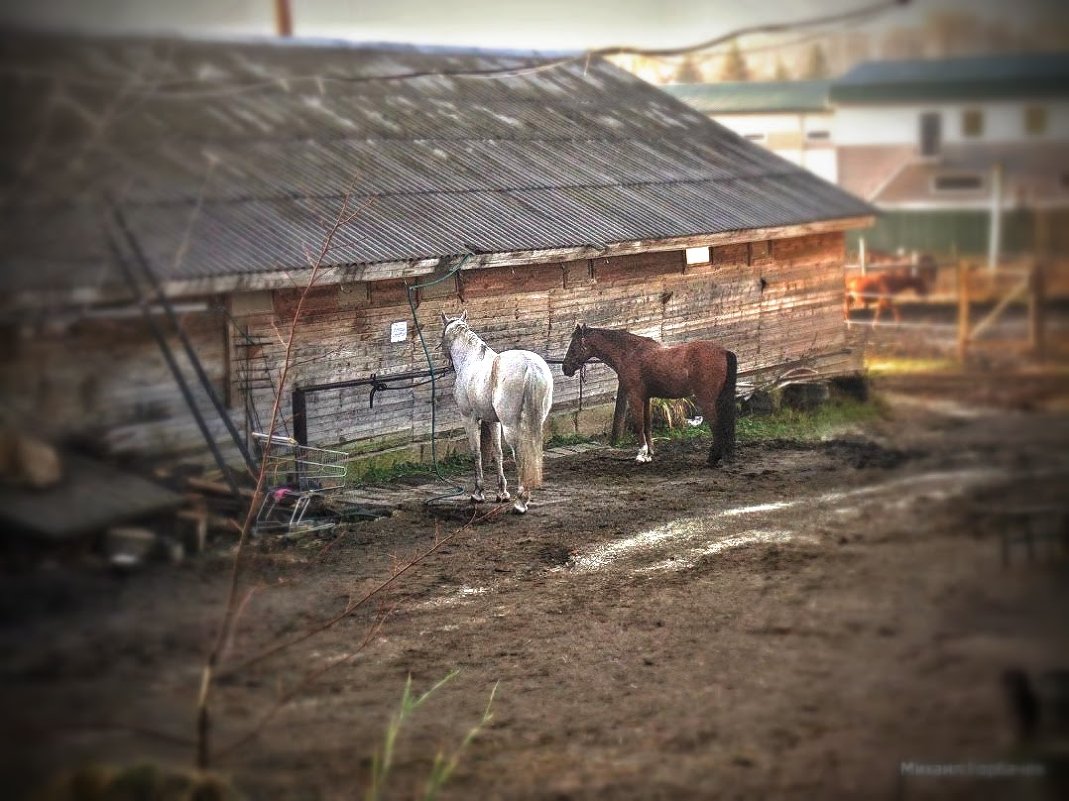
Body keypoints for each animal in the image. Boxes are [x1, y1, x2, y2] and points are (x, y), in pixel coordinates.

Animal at [440, 312, 555, 513]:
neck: (470, 359)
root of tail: (531, 367)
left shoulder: (469, 418)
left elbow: (476, 452)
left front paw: (478, 493)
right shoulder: (493, 420)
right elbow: (498, 452)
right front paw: (502, 492)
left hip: (511, 426)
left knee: (520, 453)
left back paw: (521, 502)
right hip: (533, 421)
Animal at [560, 322, 735, 466]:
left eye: (574, 345)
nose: (565, 368)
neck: (630, 353)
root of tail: (724, 351)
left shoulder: (635, 397)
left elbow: (639, 425)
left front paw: (641, 455)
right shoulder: (646, 398)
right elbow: (647, 425)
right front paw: (649, 454)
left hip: (707, 401)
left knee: (717, 427)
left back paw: (713, 459)